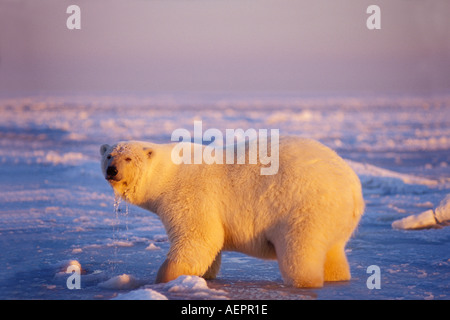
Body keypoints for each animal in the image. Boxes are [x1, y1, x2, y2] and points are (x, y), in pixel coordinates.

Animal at [100, 137, 364, 288]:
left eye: (128, 158)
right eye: (109, 155)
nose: (112, 170)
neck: (169, 173)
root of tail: (353, 188)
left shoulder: (191, 194)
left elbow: (199, 237)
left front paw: (165, 279)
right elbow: (210, 246)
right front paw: (202, 277)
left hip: (304, 207)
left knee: (300, 252)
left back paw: (304, 282)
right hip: (334, 219)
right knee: (334, 253)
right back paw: (338, 277)